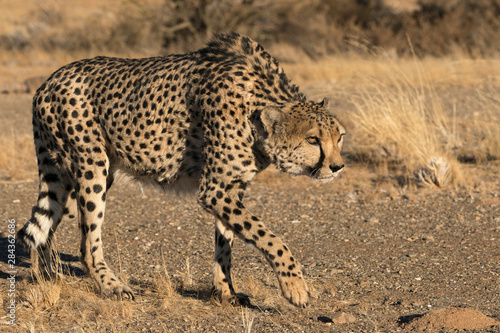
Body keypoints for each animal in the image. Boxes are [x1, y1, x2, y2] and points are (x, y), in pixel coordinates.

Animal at [16, 33, 344, 306]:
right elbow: (270, 238)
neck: (255, 110)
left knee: (46, 227)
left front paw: (226, 293)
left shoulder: (230, 188)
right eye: (313, 139)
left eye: (339, 136)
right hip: (91, 167)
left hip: (73, 173)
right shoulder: (215, 190)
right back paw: (112, 286)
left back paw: (48, 278)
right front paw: (295, 287)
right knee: (86, 241)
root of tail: (49, 80)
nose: (338, 166)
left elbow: (226, 243)